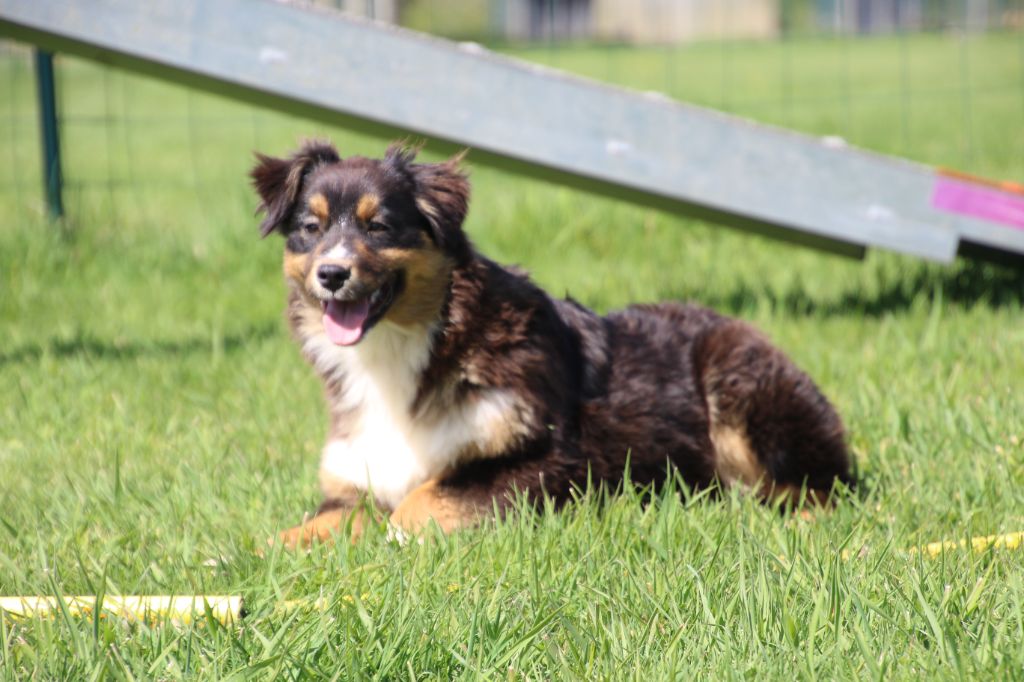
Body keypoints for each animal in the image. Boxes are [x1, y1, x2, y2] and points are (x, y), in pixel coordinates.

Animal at [250, 141, 853, 548]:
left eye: (379, 227)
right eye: (310, 227)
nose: (332, 274)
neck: (403, 351)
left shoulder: (559, 461)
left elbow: (421, 501)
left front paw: (397, 538)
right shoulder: (352, 481)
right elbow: (293, 532)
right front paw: (252, 561)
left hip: (745, 391)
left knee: (824, 489)